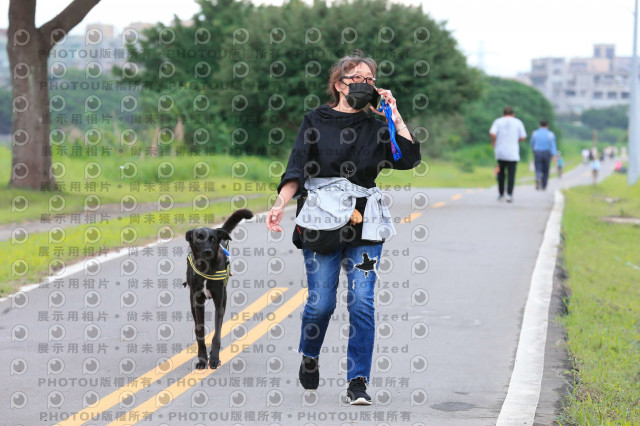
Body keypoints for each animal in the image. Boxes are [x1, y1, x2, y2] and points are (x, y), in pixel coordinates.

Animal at [184, 208, 254, 368]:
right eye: (198, 238)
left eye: (212, 239)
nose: (208, 251)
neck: (206, 268)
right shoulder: (198, 303)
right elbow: (200, 332)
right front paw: (202, 359)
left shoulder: (219, 303)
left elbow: (217, 334)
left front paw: (214, 358)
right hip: (192, 301)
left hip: (224, 297)